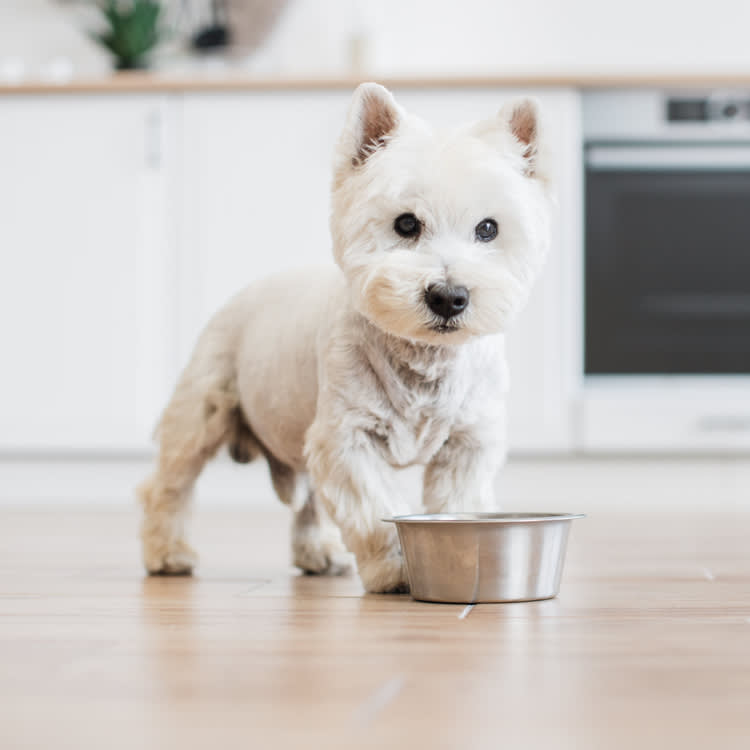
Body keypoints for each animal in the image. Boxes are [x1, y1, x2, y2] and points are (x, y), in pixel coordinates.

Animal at [140, 82, 552, 596]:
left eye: (489, 228)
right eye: (406, 223)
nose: (448, 297)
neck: (422, 360)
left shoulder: (468, 441)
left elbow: (457, 499)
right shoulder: (347, 436)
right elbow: (374, 509)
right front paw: (395, 570)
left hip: (297, 430)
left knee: (307, 498)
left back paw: (317, 553)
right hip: (205, 403)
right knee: (170, 481)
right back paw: (167, 552)